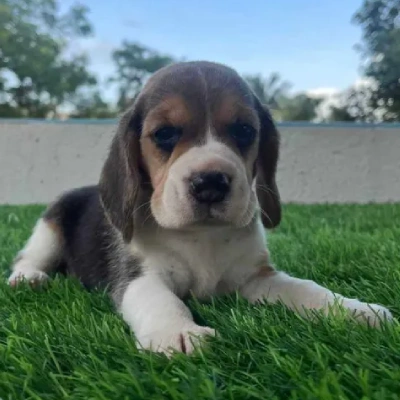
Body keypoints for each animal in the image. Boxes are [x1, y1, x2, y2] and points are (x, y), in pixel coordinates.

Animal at [7, 61, 392, 354]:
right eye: (164, 134)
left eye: (244, 130)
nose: (210, 183)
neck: (201, 236)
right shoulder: (139, 277)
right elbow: (162, 301)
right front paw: (178, 334)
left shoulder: (257, 277)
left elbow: (308, 288)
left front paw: (353, 310)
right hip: (50, 225)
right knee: (28, 256)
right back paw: (29, 278)